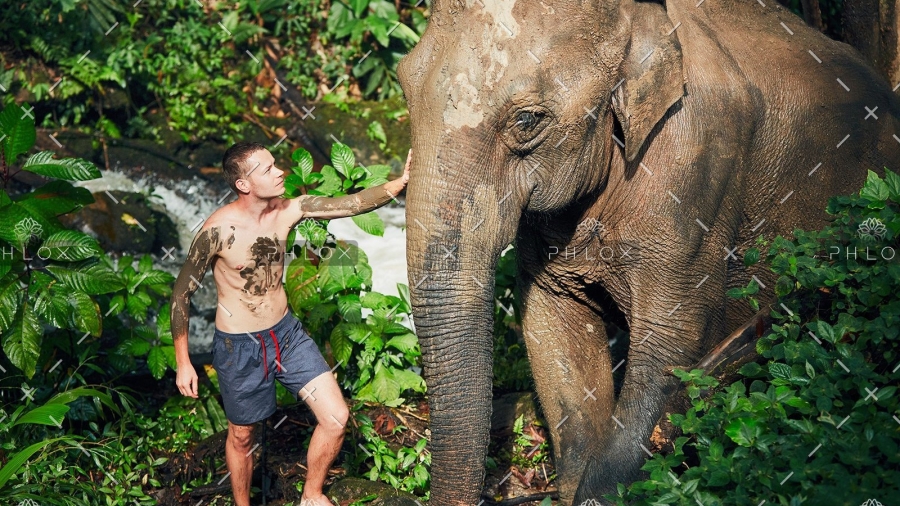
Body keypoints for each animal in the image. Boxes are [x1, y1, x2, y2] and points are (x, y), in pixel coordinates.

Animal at [397, 0, 900, 504]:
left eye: (527, 121)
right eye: (404, 84)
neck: (635, 20)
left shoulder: (698, 167)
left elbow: (670, 342)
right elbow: (551, 324)